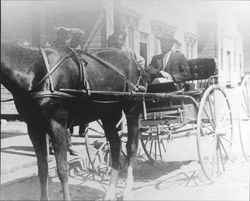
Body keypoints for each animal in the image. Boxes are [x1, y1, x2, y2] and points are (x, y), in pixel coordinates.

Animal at [0, 41, 147, 200]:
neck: (33, 69)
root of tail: (133, 60)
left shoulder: (57, 126)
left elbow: (62, 170)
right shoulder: (34, 127)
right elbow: (43, 169)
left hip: (132, 109)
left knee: (131, 148)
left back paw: (127, 192)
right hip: (107, 114)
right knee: (115, 145)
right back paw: (110, 192)